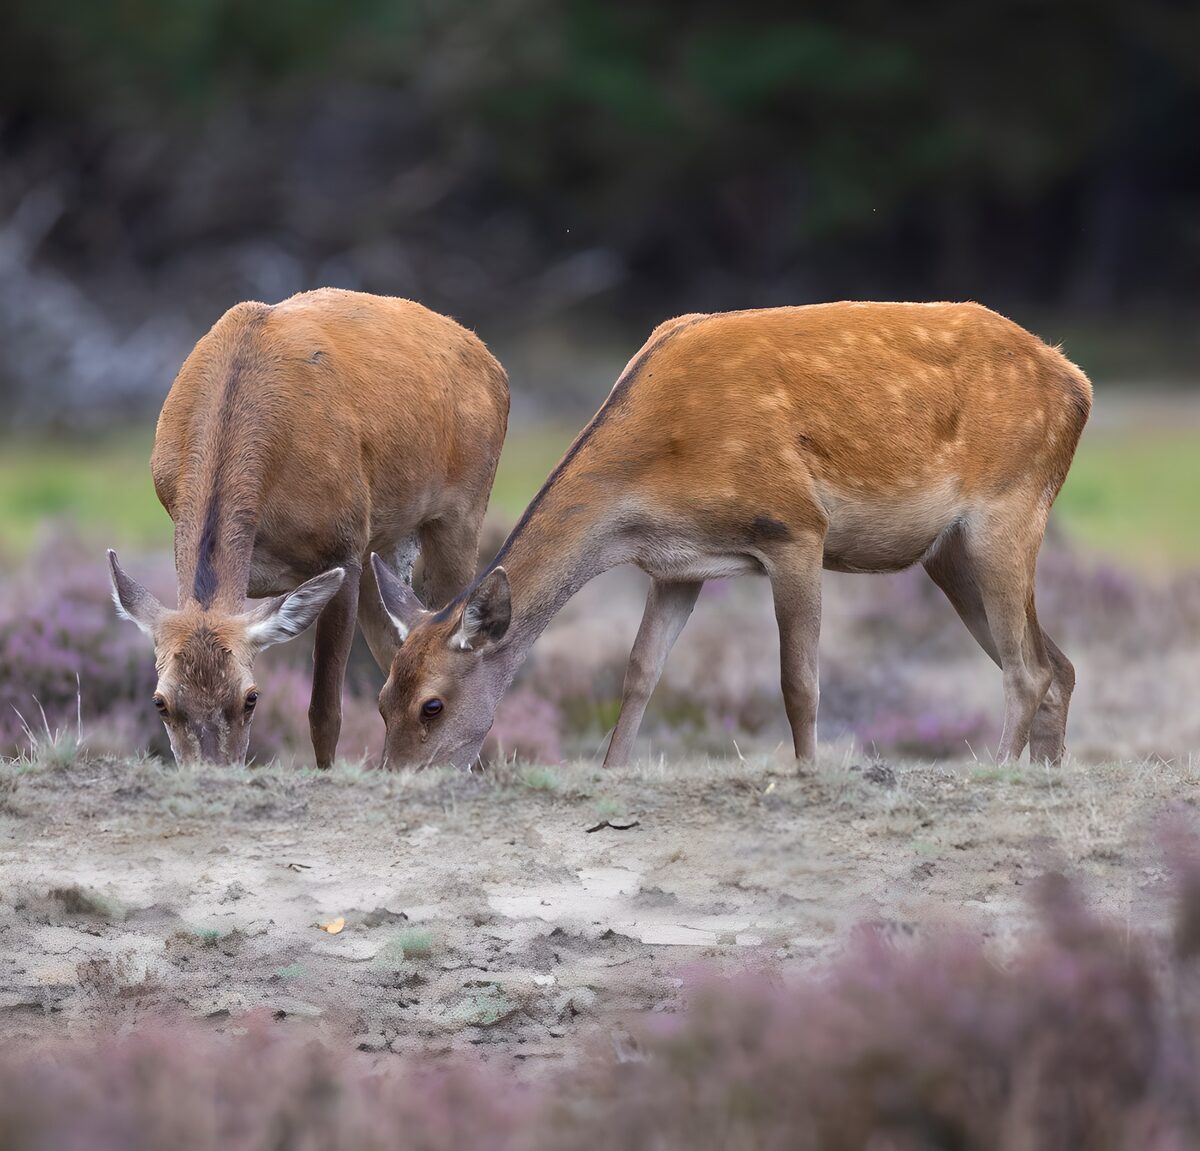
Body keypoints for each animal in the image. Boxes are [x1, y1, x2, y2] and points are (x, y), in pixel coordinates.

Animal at [107, 287, 509, 768]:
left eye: (251, 698)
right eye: (161, 702)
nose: (213, 772)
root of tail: (494, 364)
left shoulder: (343, 545)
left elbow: (325, 712)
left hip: (463, 508)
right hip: (387, 542)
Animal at [370, 302, 1091, 772]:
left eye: (432, 705)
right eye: (381, 698)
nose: (396, 778)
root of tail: (1077, 384)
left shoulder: (794, 526)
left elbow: (798, 682)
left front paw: (806, 773)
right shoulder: (678, 566)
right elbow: (639, 672)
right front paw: (612, 773)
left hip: (1008, 506)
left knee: (1027, 667)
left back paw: (997, 772)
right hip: (949, 553)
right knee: (1058, 664)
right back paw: (1045, 775)